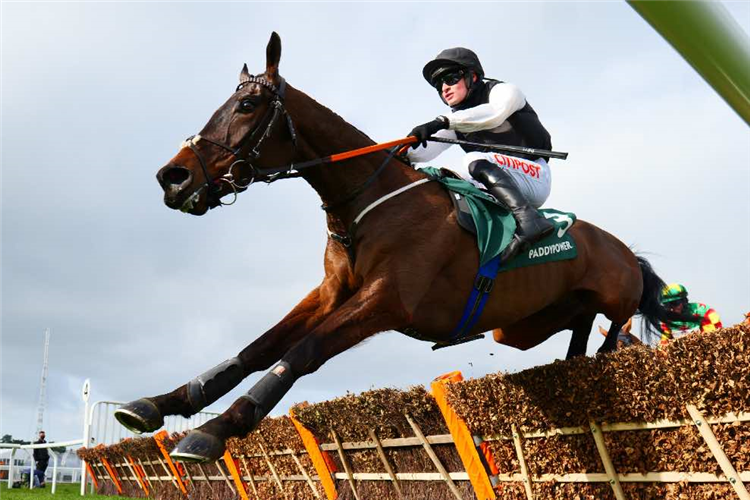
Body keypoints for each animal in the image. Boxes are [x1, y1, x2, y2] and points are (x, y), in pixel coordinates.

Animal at [113, 31, 692, 460]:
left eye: (249, 104)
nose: (173, 178)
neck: (367, 204)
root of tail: (624, 250)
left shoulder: (389, 299)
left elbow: (301, 352)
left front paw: (213, 431)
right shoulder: (331, 292)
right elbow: (256, 349)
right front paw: (162, 403)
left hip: (610, 298)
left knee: (613, 333)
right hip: (522, 328)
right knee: (576, 342)